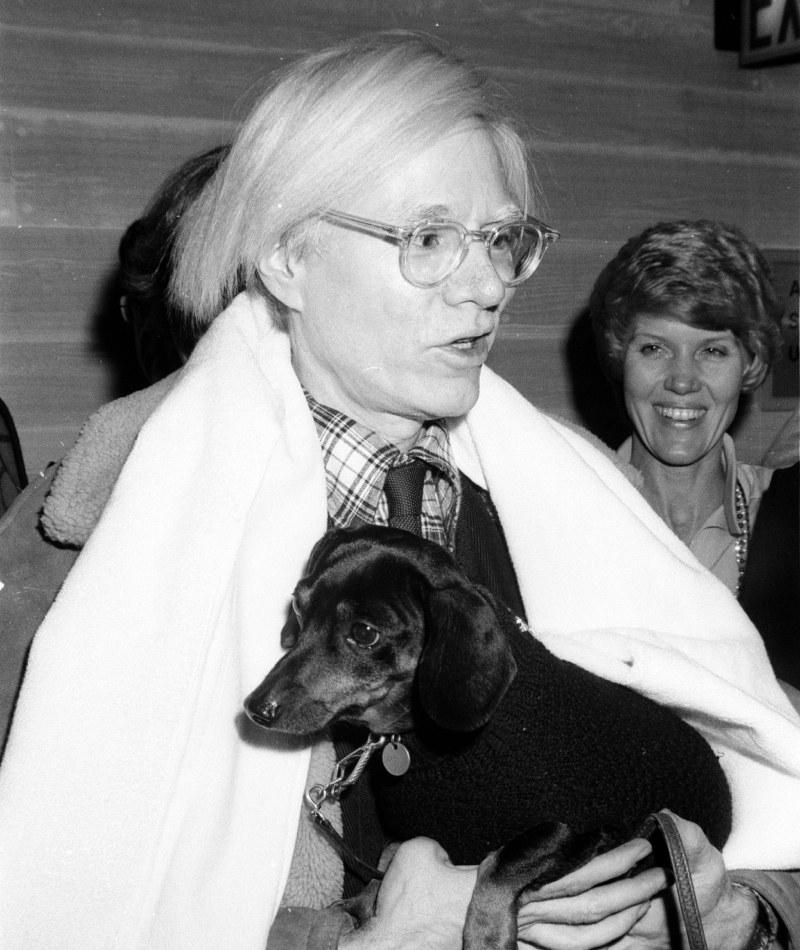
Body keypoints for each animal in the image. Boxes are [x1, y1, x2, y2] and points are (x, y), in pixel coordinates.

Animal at [245, 528, 732, 950]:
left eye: (364, 633)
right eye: (298, 606)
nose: (254, 708)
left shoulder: (581, 829)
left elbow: (498, 865)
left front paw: (485, 935)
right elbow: (385, 866)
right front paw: (360, 907)